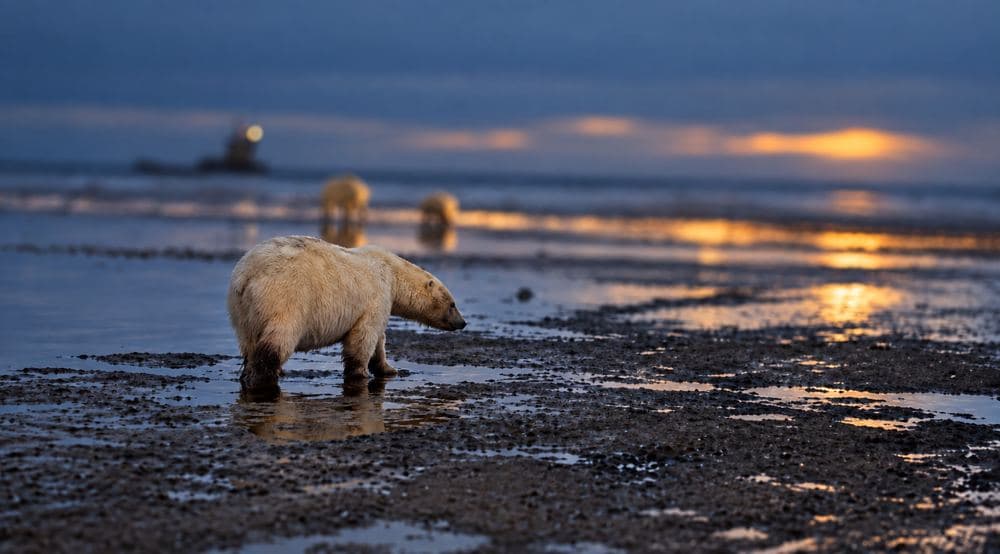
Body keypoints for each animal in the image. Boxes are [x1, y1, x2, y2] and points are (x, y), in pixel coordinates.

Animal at [227, 235, 466, 397]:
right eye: (453, 304)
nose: (462, 323)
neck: (392, 272)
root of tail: (246, 276)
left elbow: (378, 340)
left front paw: (388, 368)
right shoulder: (376, 295)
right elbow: (364, 337)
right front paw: (361, 374)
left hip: (242, 313)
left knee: (249, 344)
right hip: (284, 298)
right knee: (278, 340)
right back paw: (265, 380)